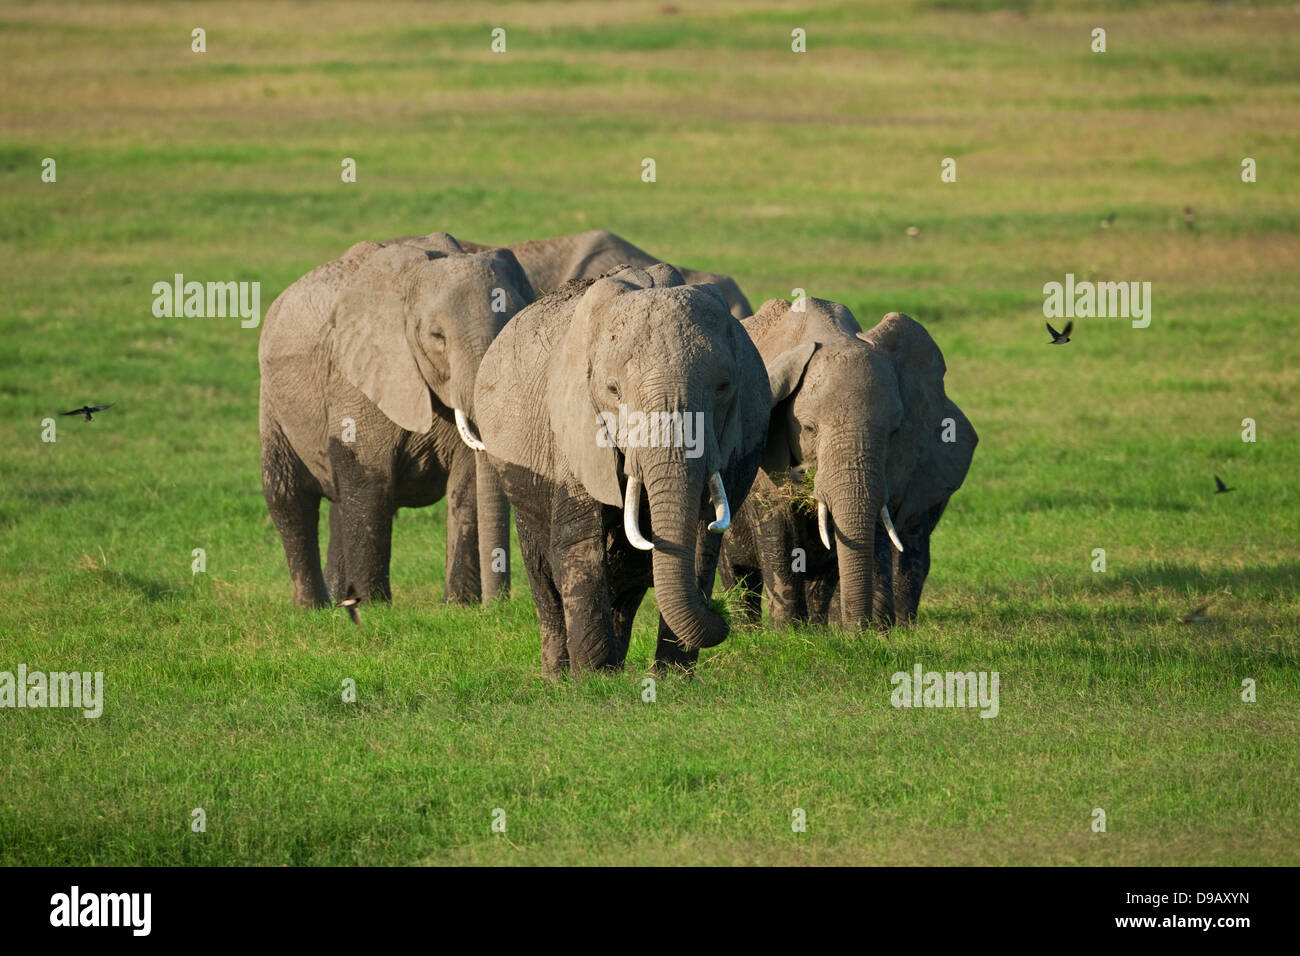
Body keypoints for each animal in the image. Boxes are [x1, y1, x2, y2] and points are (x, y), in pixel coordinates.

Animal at [258, 227, 533, 608]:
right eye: (437, 337)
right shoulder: (355, 375)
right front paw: (374, 606)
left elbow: (466, 486)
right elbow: (369, 478)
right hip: (272, 400)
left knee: (339, 500)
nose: (499, 605)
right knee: (289, 497)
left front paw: (460, 605)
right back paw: (313, 608)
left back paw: (340, 601)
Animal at [473, 265, 800, 676]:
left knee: (626, 574)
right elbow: (579, 545)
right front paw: (591, 678)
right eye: (613, 391)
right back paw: (559, 675)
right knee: (543, 569)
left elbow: (698, 543)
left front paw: (672, 677)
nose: (721, 613)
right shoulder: (573, 430)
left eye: (724, 387)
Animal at [722, 299, 977, 629]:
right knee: (735, 573)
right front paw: (787, 633)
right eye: (808, 428)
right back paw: (749, 630)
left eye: (894, 431)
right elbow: (779, 529)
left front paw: (853, 632)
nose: (861, 629)